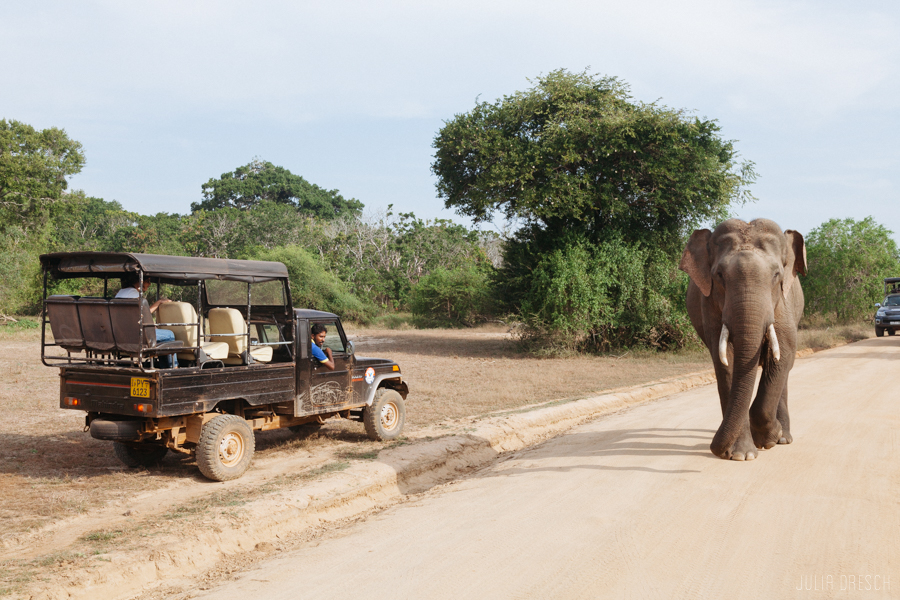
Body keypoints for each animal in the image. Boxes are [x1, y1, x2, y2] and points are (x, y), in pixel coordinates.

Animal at [680, 218, 804, 462]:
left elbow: (783, 352)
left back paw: (784, 438)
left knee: (784, 369)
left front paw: (771, 438)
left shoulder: (784, 304)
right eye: (719, 275)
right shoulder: (710, 305)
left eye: (776, 274)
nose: (715, 449)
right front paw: (741, 455)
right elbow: (725, 361)